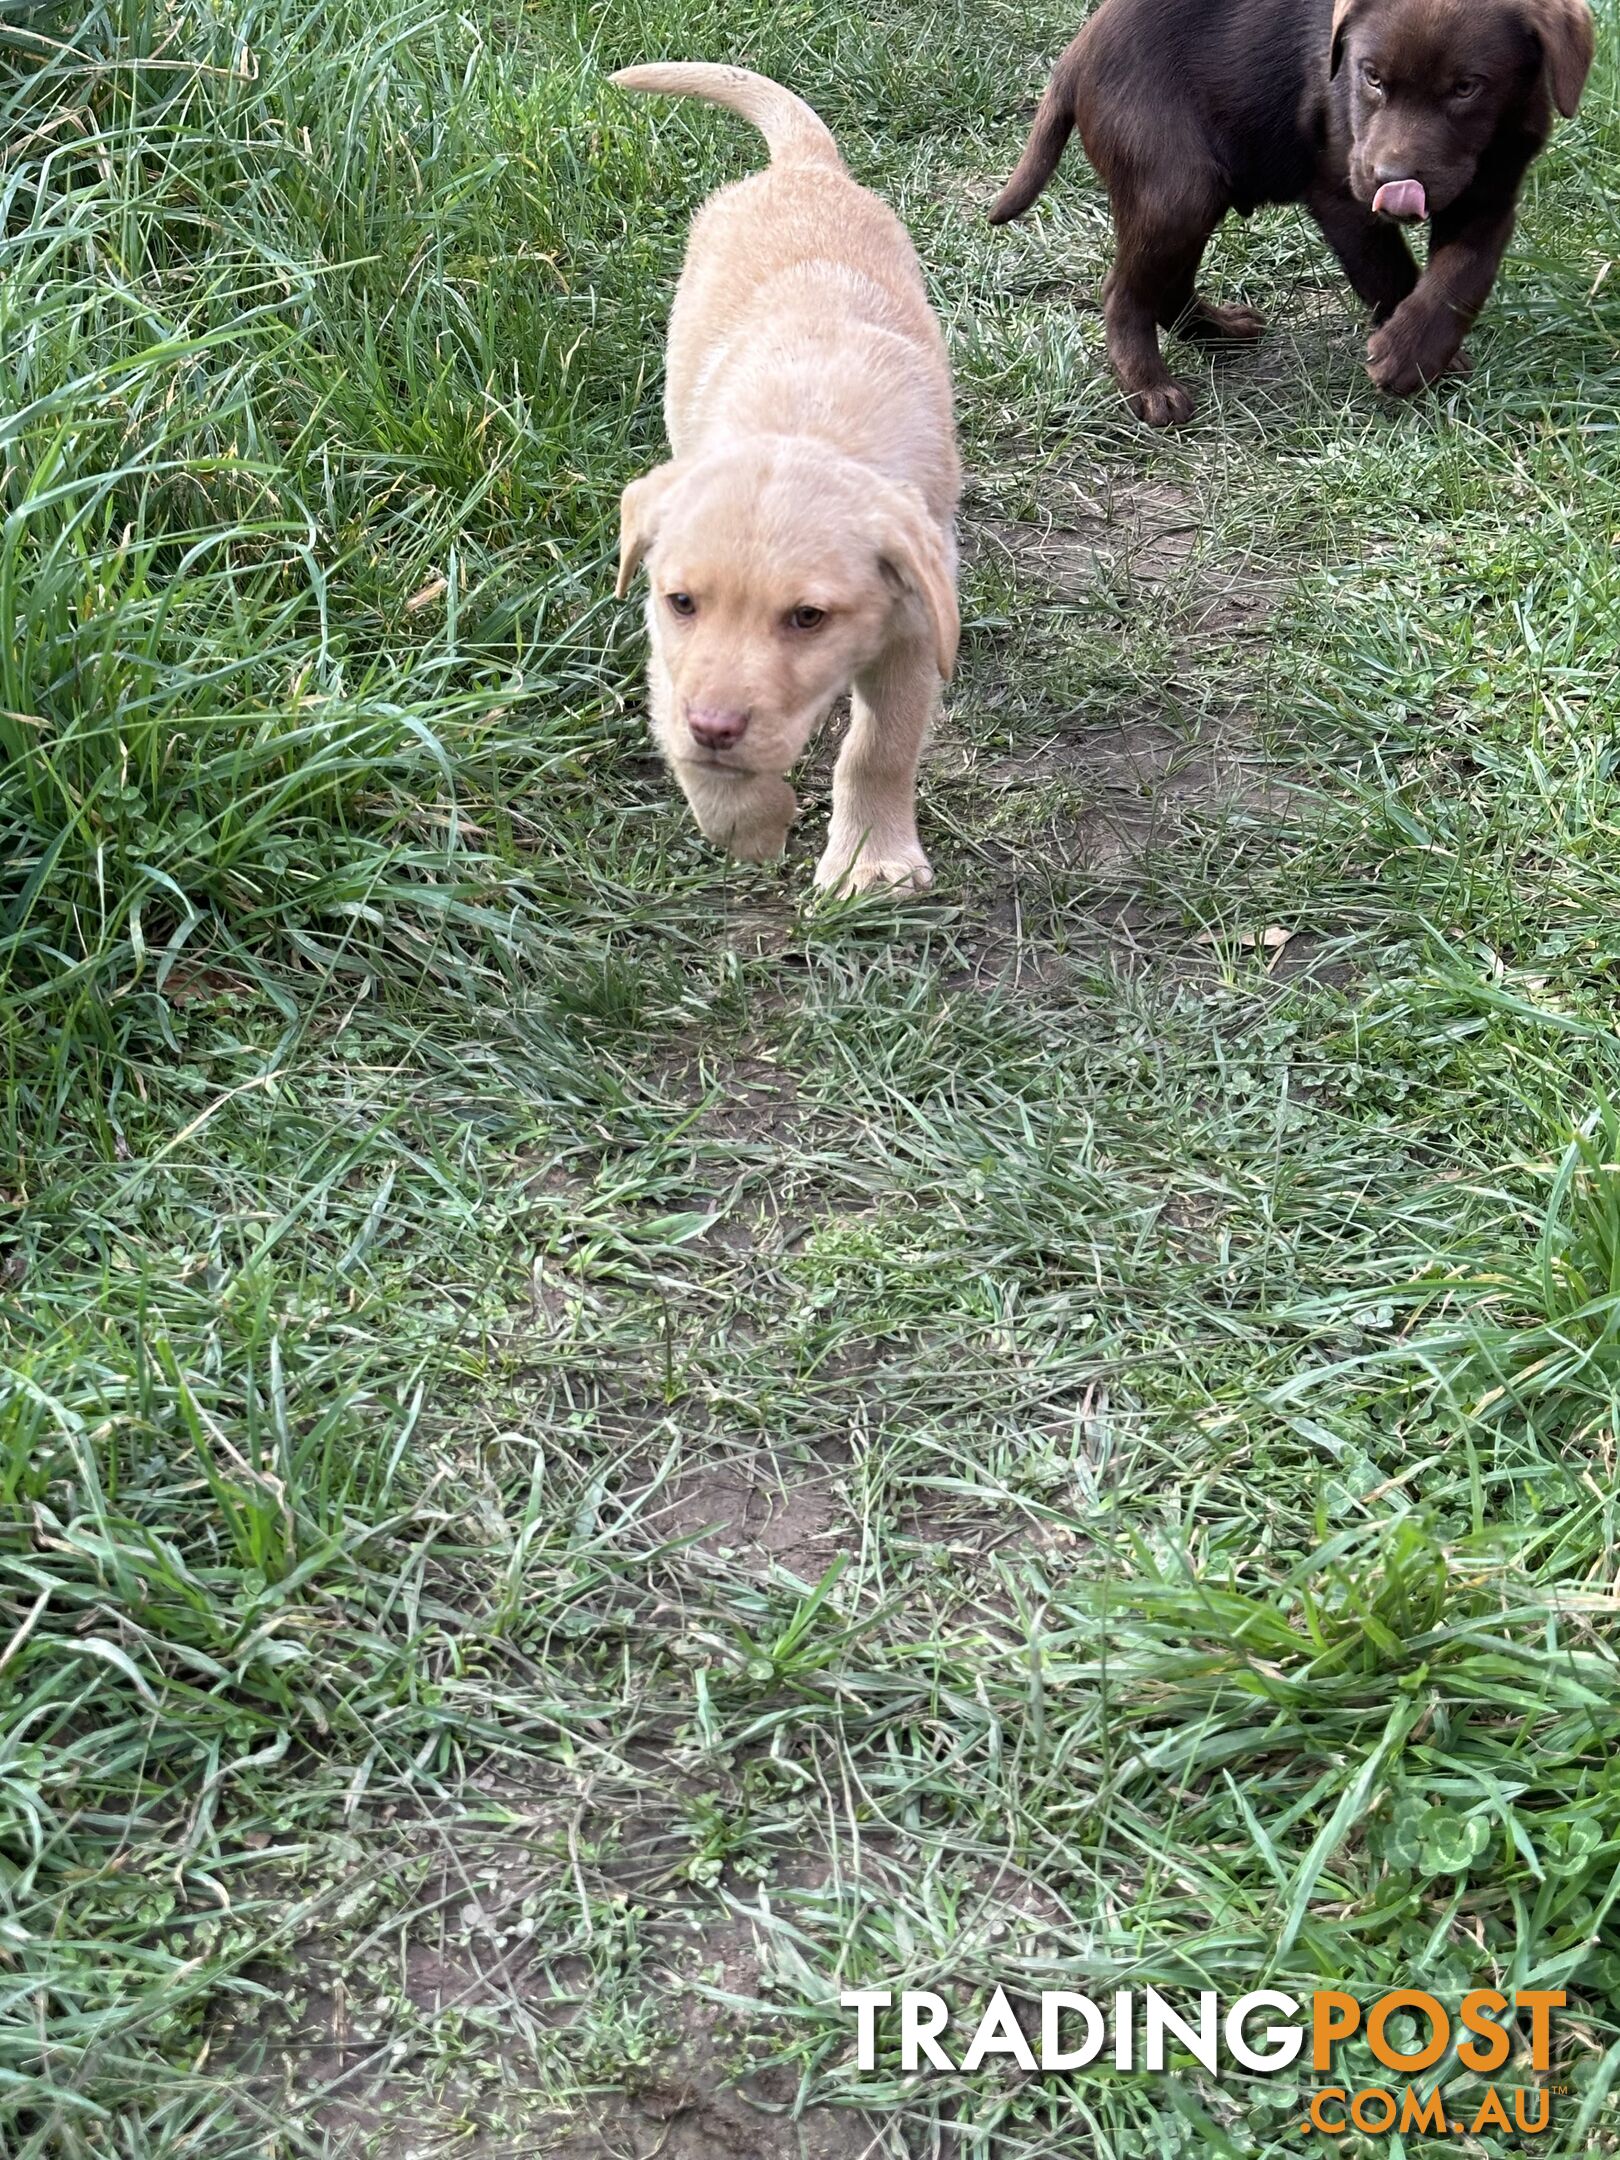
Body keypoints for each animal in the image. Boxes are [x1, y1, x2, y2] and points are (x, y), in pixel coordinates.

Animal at [613, 65, 959, 894]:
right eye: (682, 602)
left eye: (808, 618)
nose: (716, 727)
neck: (808, 424)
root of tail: (801, 168)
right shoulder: (668, 651)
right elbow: (687, 738)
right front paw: (750, 822)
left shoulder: (914, 629)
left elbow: (878, 750)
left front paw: (872, 859)